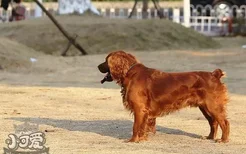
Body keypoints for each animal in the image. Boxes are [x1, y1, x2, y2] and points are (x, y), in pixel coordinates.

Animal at [97, 50, 230, 143]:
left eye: (106, 60)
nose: (98, 66)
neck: (130, 73)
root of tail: (214, 74)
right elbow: (143, 127)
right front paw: (142, 139)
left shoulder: (139, 109)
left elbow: (135, 127)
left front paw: (133, 140)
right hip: (205, 107)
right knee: (213, 123)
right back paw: (209, 137)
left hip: (212, 106)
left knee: (224, 122)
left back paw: (223, 140)